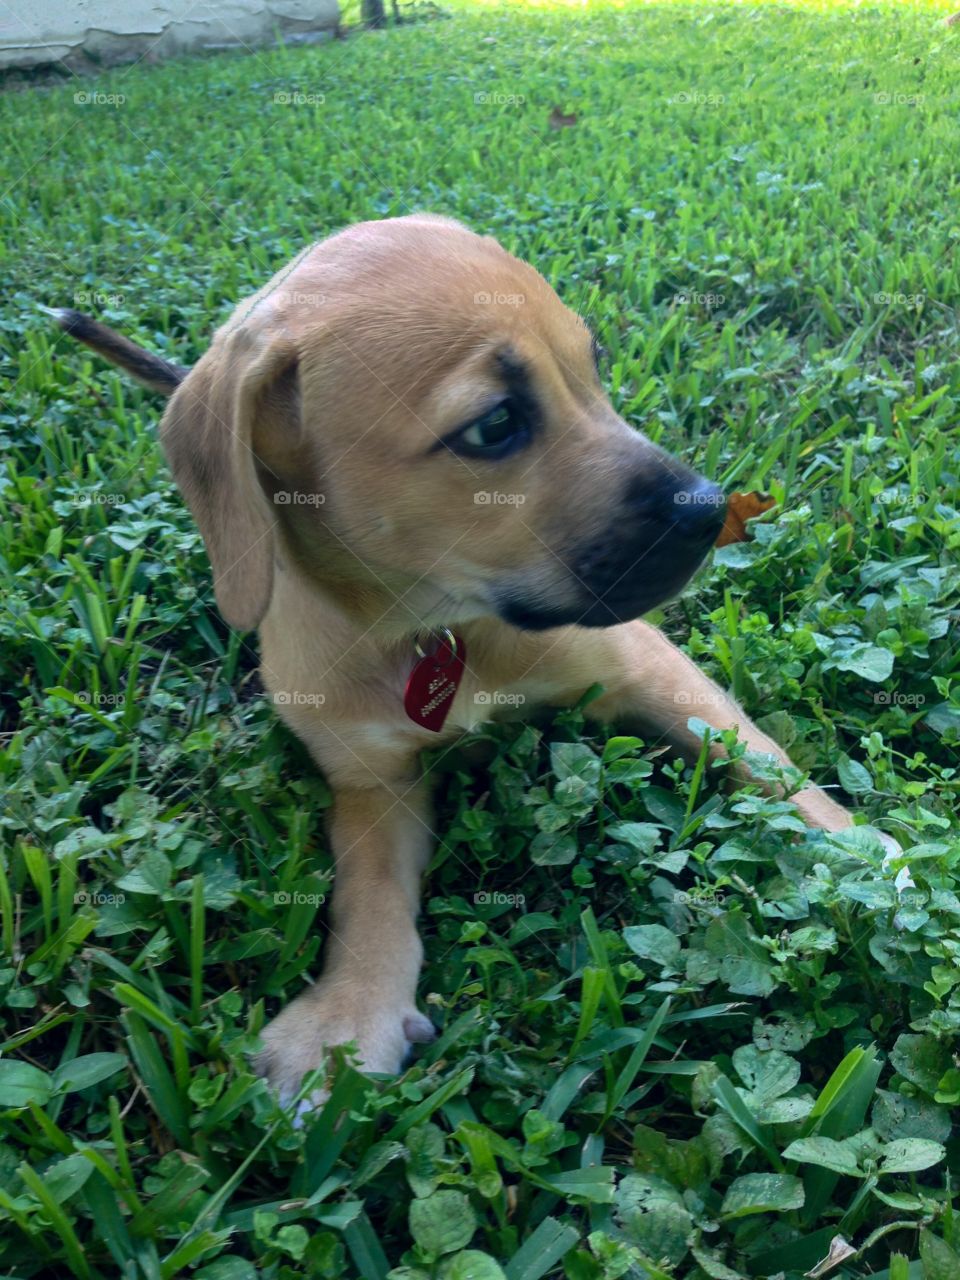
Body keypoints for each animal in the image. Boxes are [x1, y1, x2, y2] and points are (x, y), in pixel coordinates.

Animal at [54, 215, 885, 1105]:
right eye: (494, 426)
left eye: (592, 366)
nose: (708, 512)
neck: (437, 628)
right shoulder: (371, 780)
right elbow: (369, 894)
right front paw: (347, 1015)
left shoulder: (644, 662)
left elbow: (768, 764)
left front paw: (869, 851)